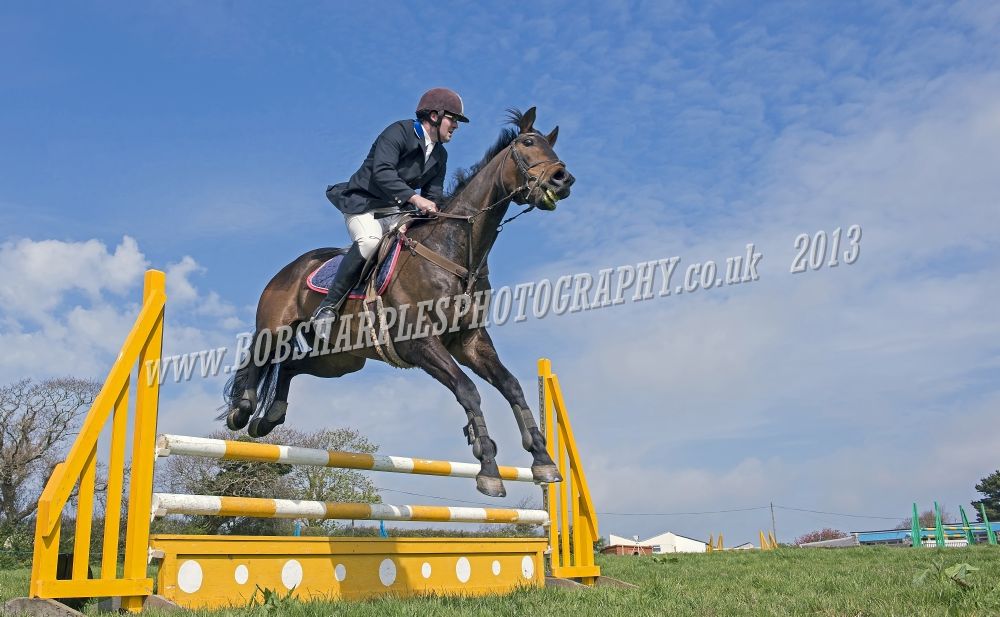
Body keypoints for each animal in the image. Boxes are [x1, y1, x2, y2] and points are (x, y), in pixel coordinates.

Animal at [221, 108, 575, 498]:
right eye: (527, 143)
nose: (564, 179)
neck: (455, 251)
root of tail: (290, 267)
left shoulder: (470, 342)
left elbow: (511, 385)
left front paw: (542, 460)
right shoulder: (419, 343)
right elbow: (468, 390)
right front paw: (488, 467)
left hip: (340, 358)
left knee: (288, 366)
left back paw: (270, 418)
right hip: (276, 327)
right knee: (259, 358)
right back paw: (242, 410)